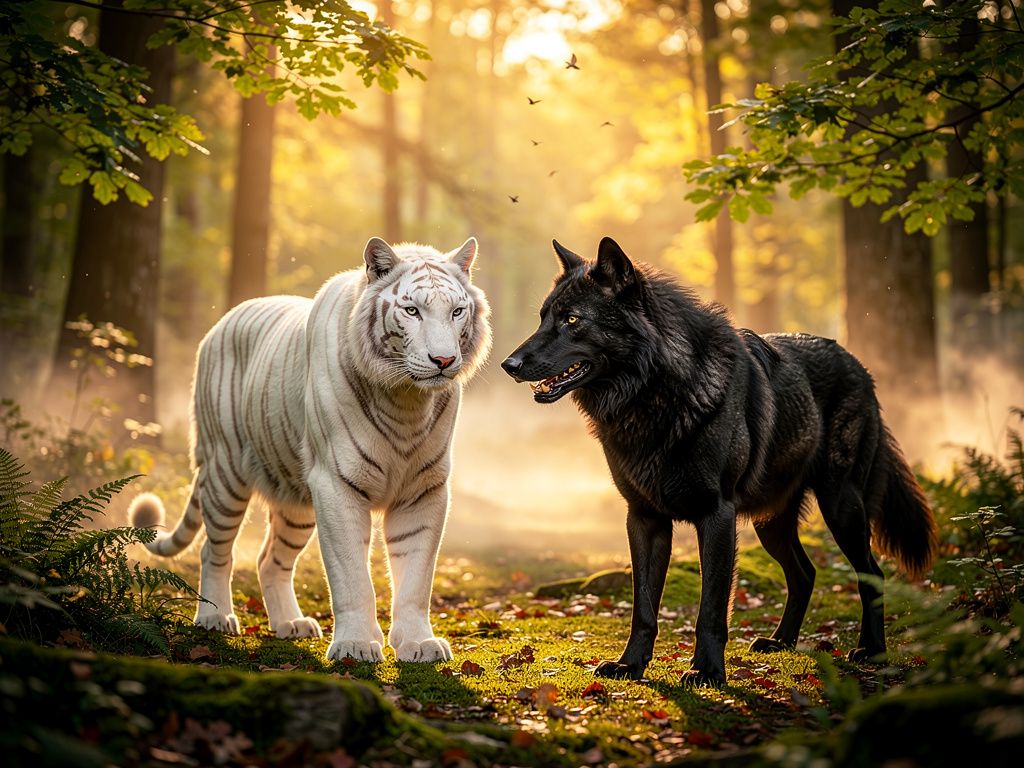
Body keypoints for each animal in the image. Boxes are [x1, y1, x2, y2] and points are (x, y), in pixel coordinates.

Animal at [129, 237, 490, 663]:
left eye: (457, 311)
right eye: (412, 310)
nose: (444, 360)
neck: (405, 401)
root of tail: (222, 322)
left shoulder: (424, 489)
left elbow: (417, 577)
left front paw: (419, 644)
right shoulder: (336, 483)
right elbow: (352, 577)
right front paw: (355, 645)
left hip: (295, 501)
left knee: (270, 560)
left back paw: (290, 624)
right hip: (224, 473)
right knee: (214, 551)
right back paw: (214, 618)